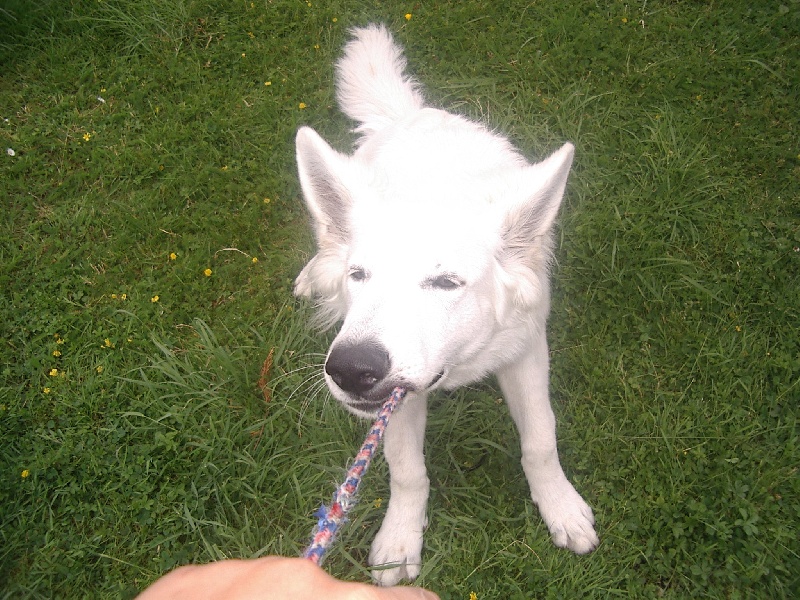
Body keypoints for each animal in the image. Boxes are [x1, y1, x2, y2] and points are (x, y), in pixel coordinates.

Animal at [294, 24, 599, 586]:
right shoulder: (396, 400)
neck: (459, 363)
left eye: (445, 282)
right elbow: (407, 471)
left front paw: (560, 508)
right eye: (359, 275)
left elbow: (540, 440)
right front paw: (399, 541)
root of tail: (412, 116)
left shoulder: (526, 353)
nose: (350, 369)